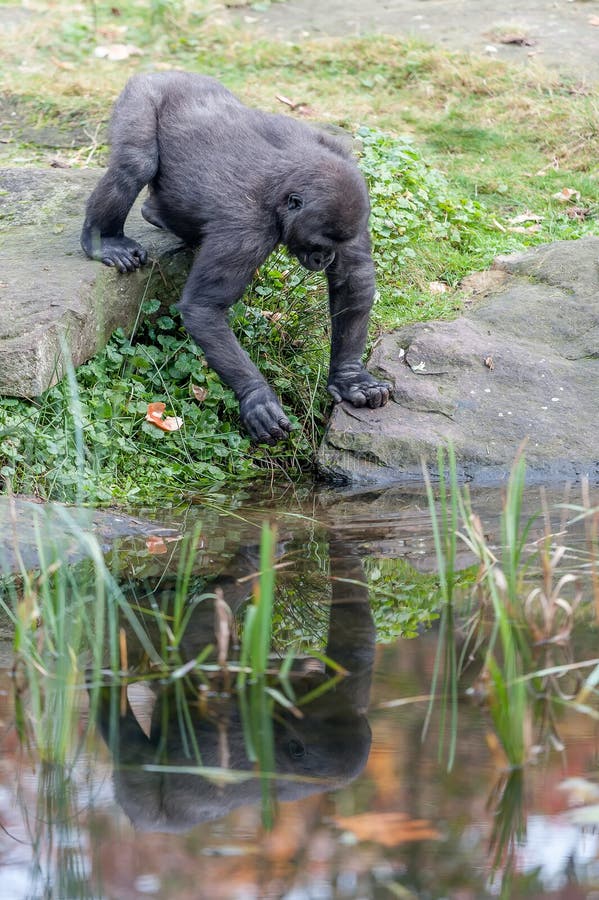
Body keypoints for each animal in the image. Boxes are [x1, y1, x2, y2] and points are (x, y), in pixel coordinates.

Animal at [81, 72, 390, 444]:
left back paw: (156, 214)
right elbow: (206, 307)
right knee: (135, 163)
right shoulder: (246, 229)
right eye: (318, 243)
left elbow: (352, 282)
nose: (325, 259)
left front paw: (350, 377)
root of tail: (163, 71)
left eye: (337, 243)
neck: (286, 191)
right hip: (142, 94)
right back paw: (104, 240)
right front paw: (256, 396)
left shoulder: (356, 201)